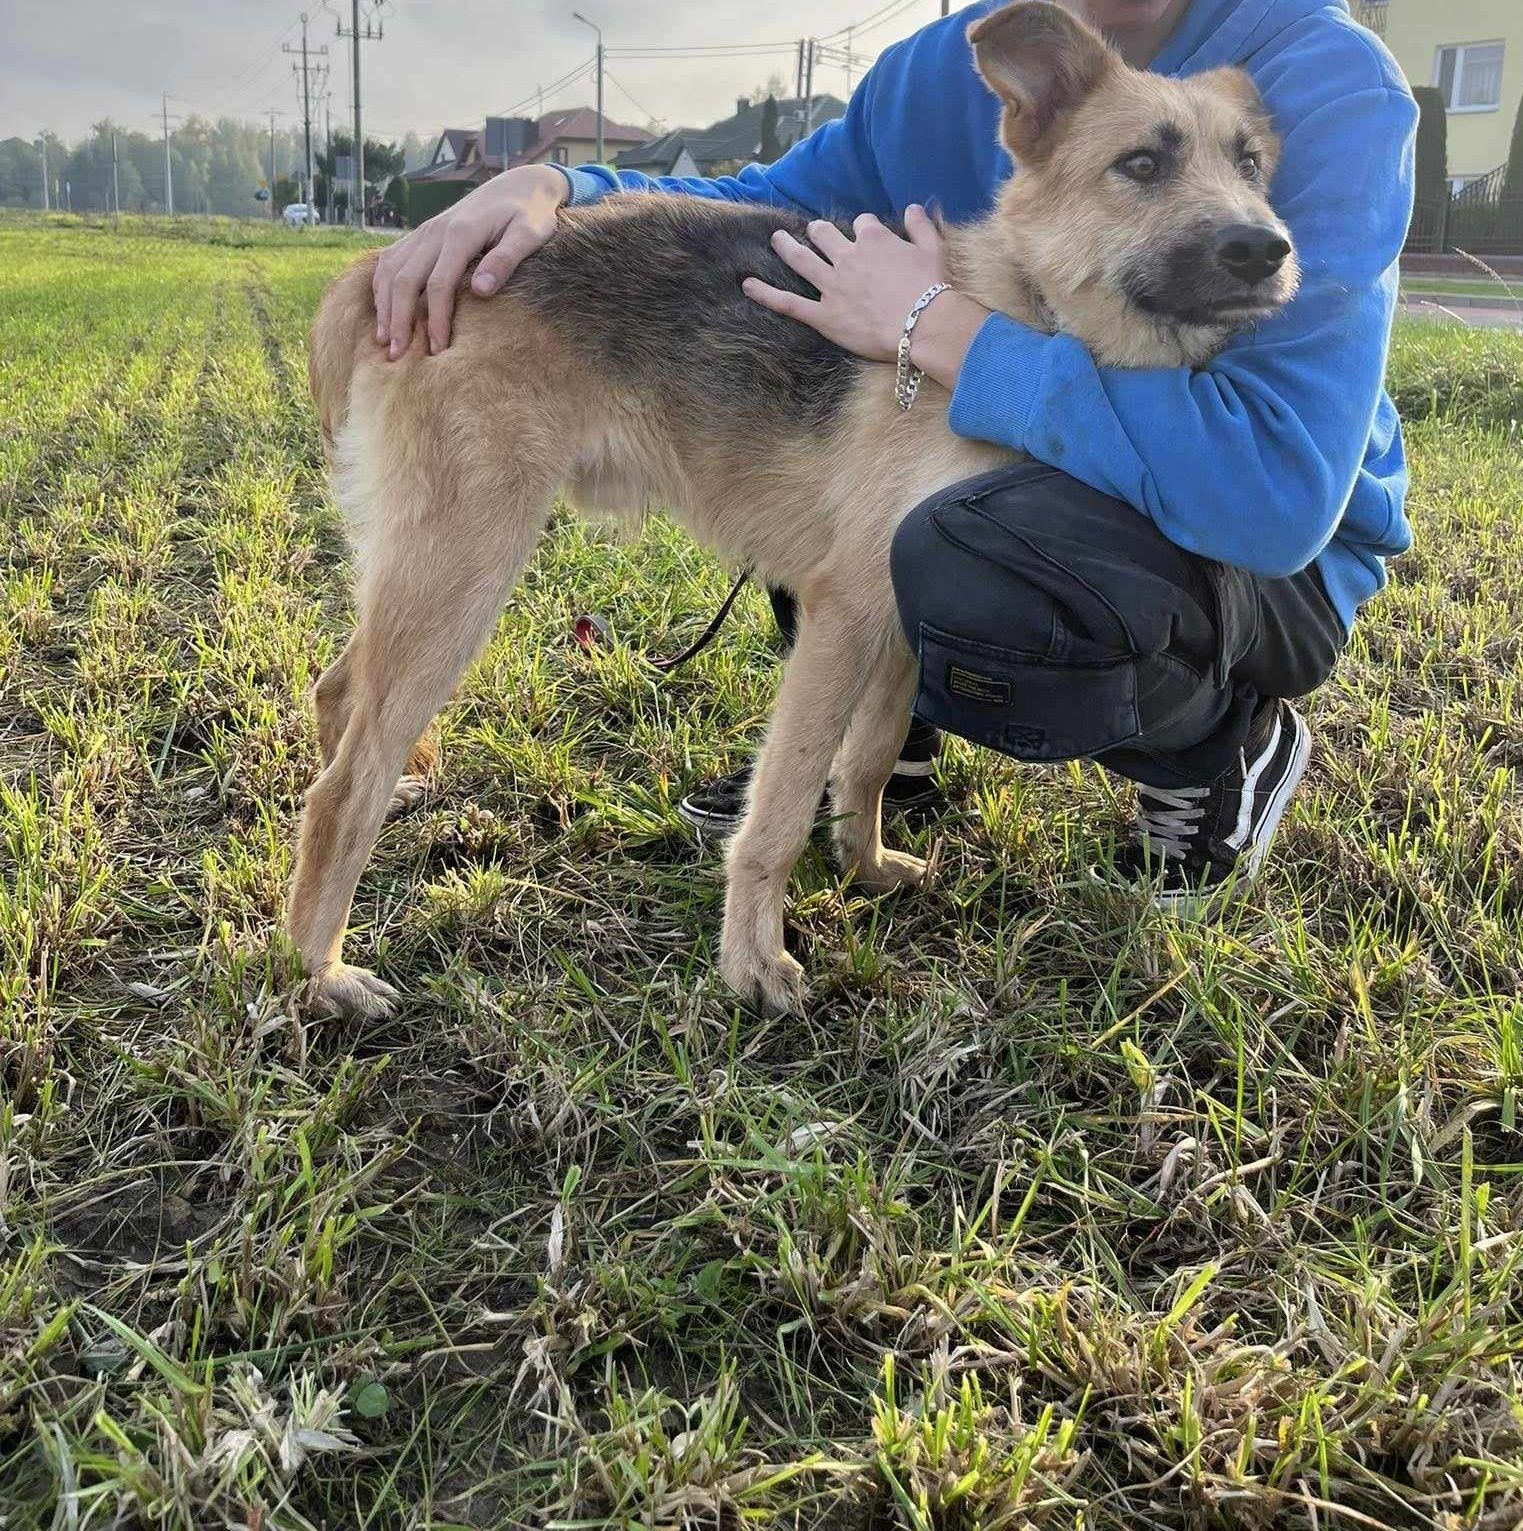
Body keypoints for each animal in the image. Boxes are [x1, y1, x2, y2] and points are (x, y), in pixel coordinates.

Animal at [286, 2, 1297, 1028]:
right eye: (1141, 163)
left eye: (1250, 162)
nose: (1265, 251)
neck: (1021, 309)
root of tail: (387, 262)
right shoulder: (842, 615)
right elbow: (782, 802)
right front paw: (752, 959)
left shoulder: (901, 614)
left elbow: (870, 757)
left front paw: (862, 865)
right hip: (466, 568)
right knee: (341, 786)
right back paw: (321, 970)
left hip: (432, 568)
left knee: (337, 693)